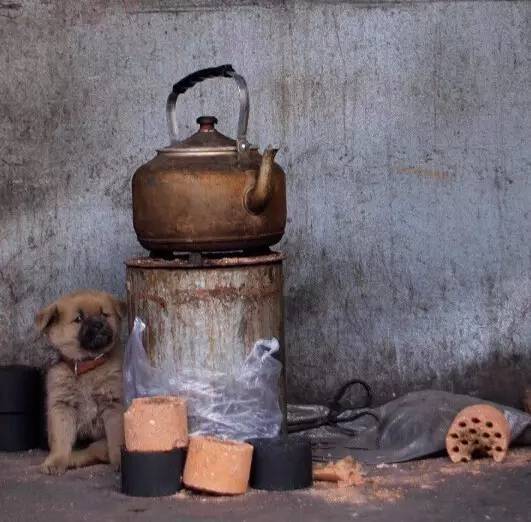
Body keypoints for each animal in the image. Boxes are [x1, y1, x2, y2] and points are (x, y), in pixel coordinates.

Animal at [36, 290, 127, 474]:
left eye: (104, 314)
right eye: (79, 318)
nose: (99, 324)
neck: (88, 365)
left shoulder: (114, 404)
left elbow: (116, 438)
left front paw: (120, 461)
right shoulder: (61, 407)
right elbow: (60, 440)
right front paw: (55, 461)